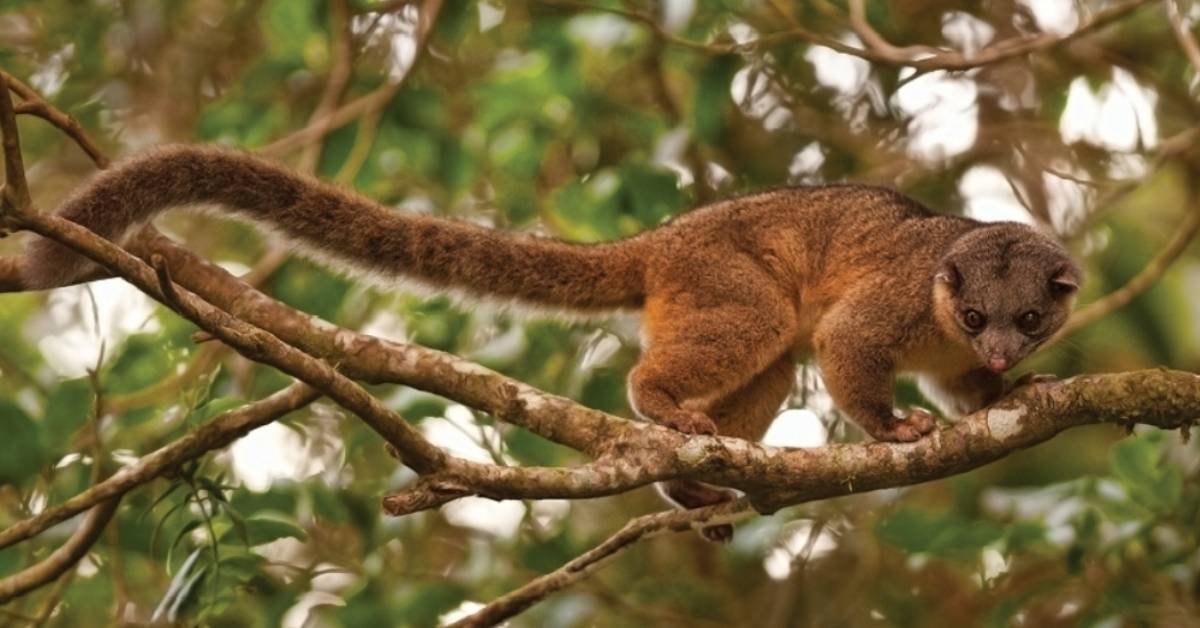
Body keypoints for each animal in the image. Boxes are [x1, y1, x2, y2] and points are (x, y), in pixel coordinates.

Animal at [19, 145, 1080, 542]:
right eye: (976, 314)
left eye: (1025, 320)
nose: (997, 350)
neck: (939, 305)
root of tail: (664, 241)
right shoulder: (900, 304)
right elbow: (851, 346)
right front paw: (894, 431)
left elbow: (967, 402)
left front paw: (1008, 400)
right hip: (722, 280)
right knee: (766, 331)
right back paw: (658, 408)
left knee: (772, 363)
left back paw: (695, 483)